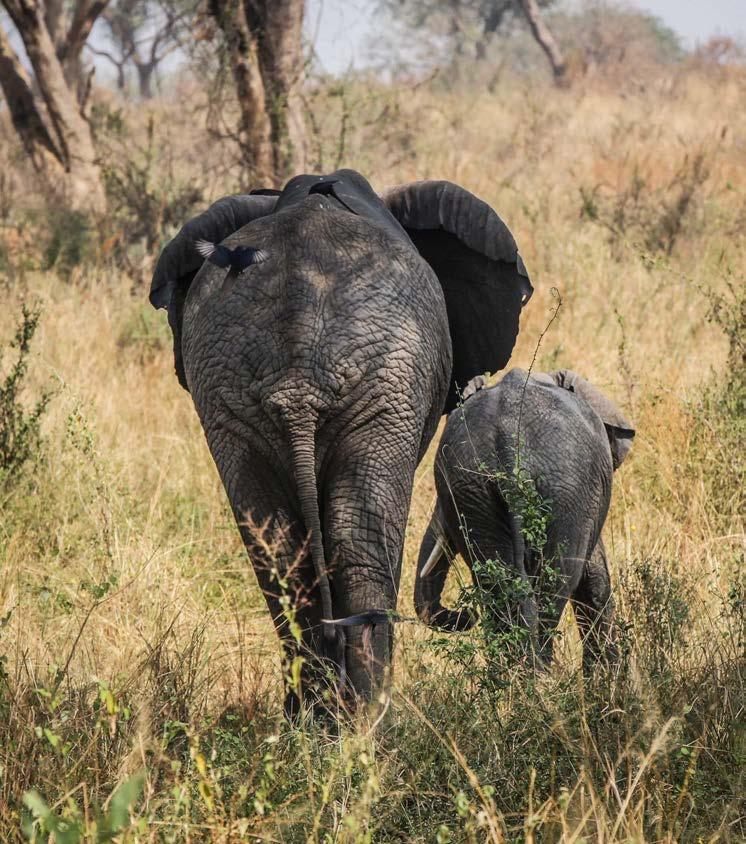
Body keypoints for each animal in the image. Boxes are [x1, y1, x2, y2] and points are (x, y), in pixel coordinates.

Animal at [148, 170, 528, 712]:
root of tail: (297, 379)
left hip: (230, 394)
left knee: (278, 554)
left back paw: (311, 715)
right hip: (386, 381)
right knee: (361, 537)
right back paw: (372, 716)